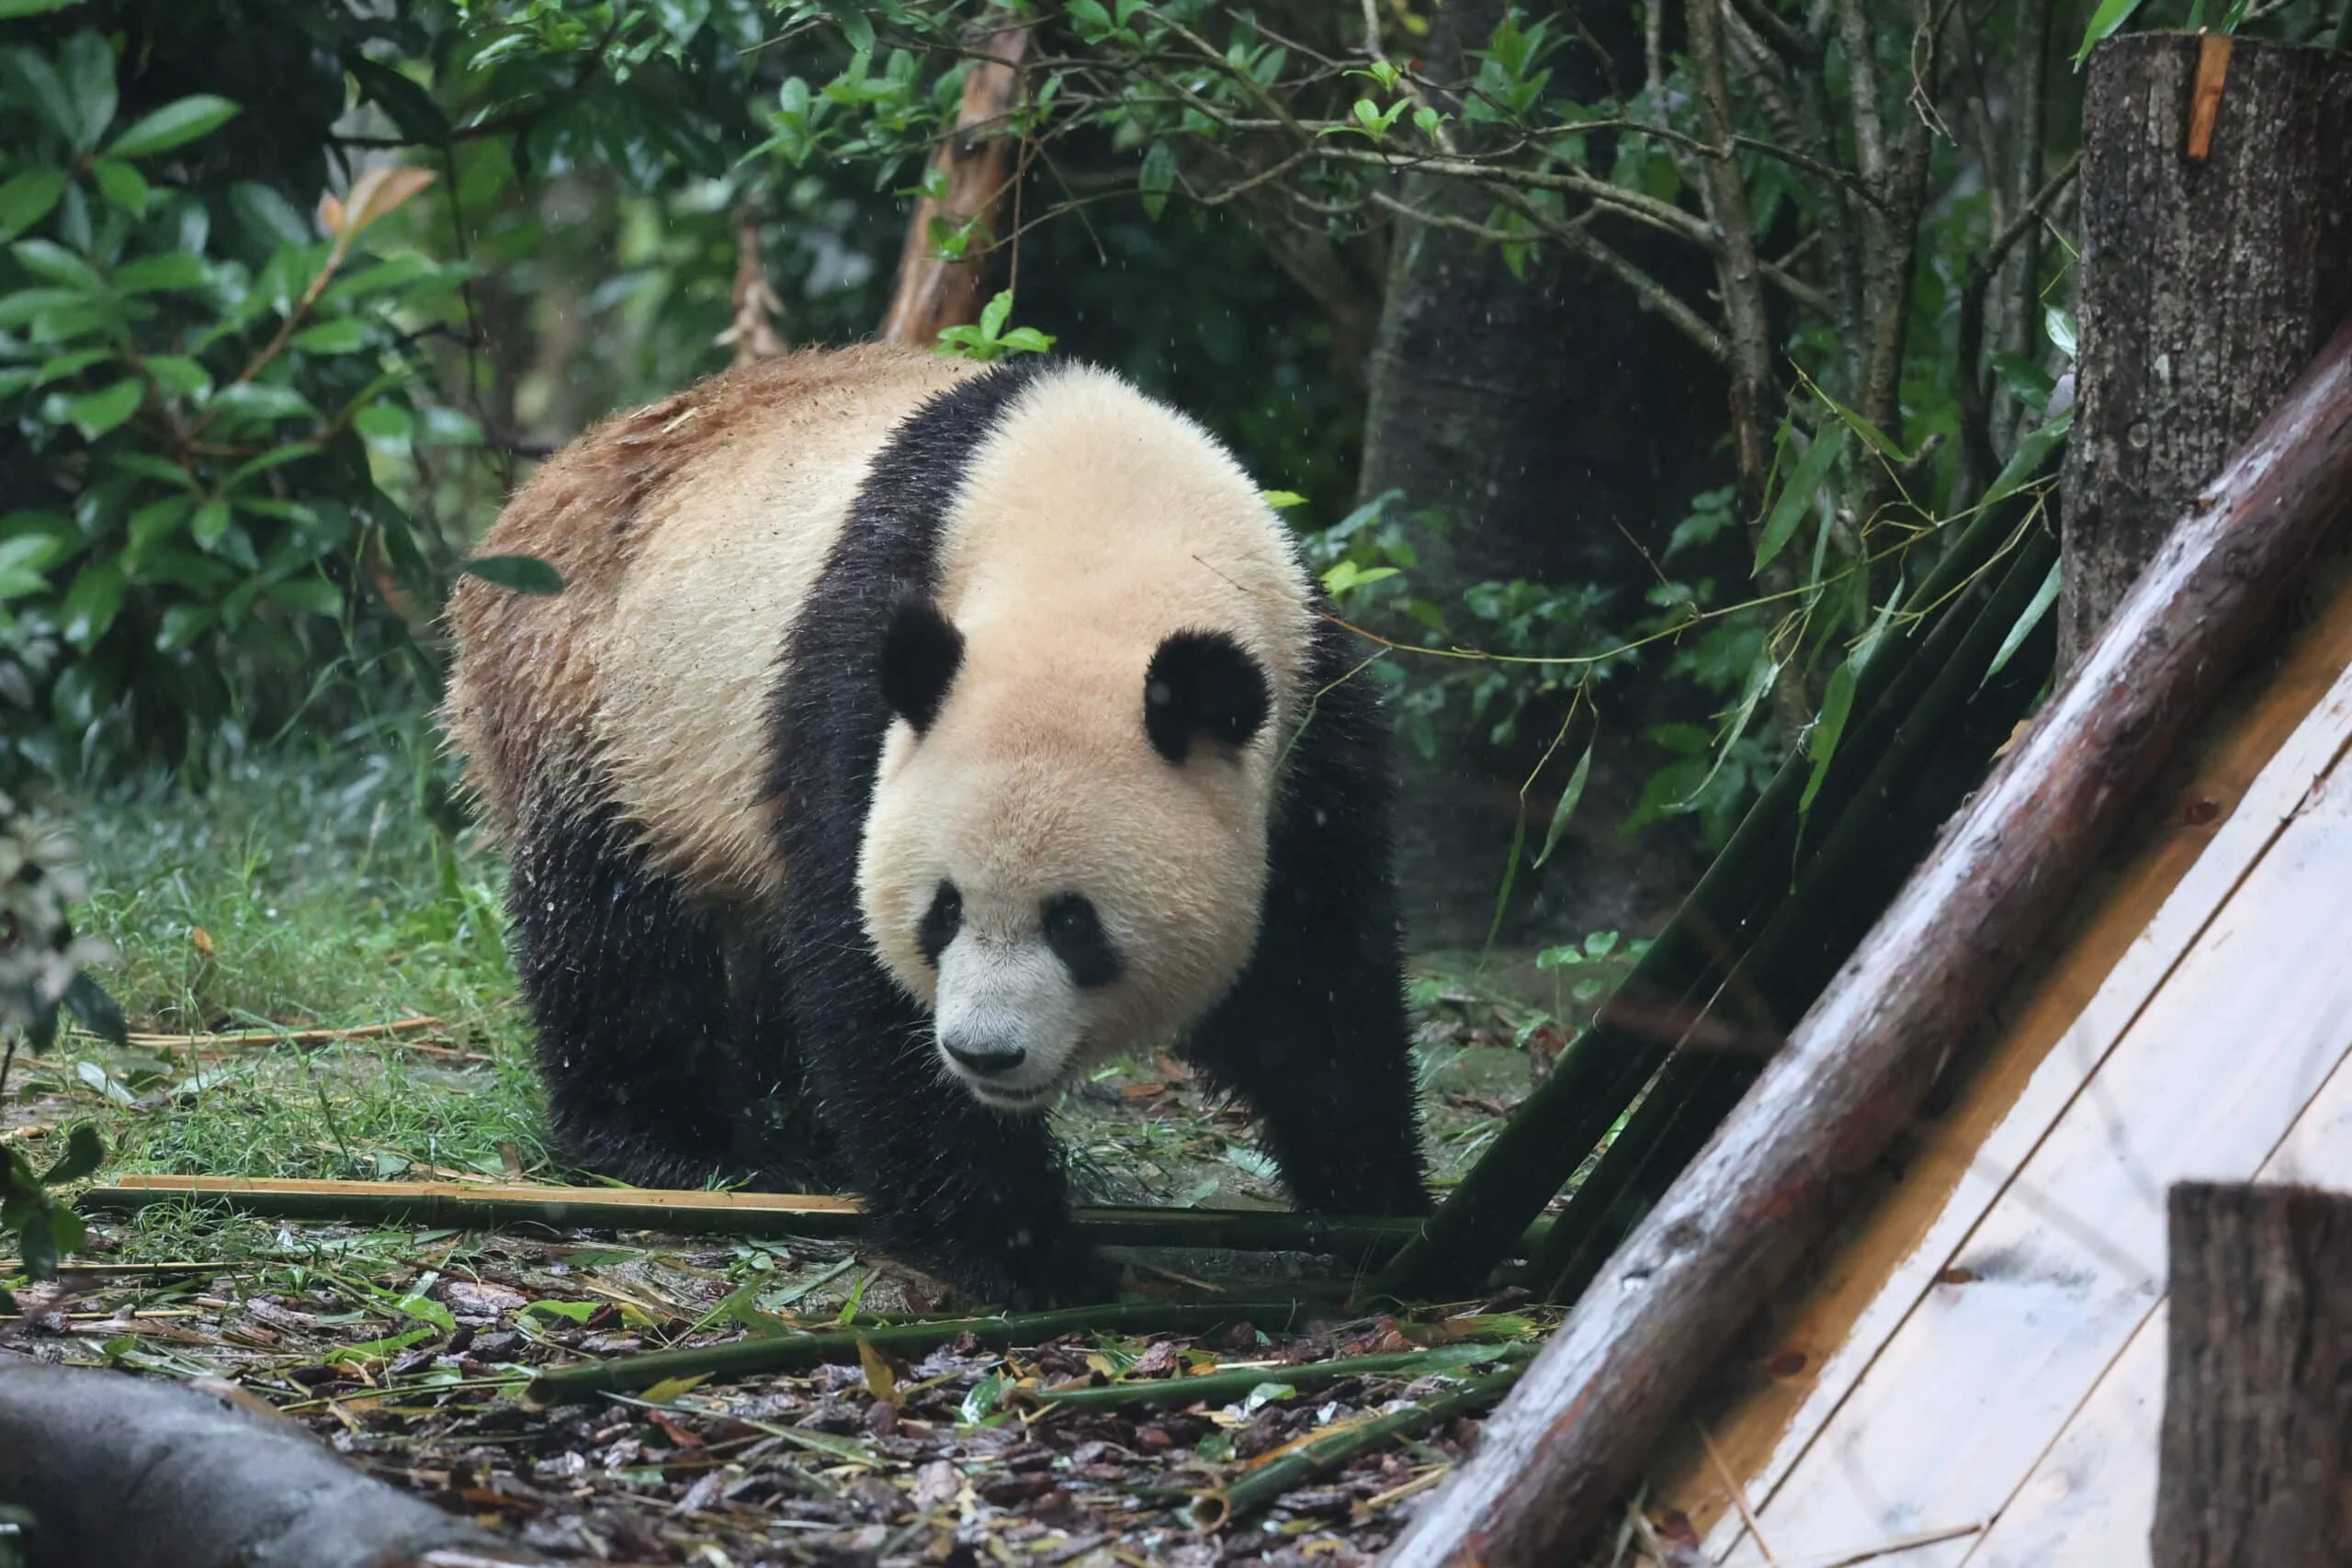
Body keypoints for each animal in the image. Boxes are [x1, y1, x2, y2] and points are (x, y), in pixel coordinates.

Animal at [444, 343, 1429, 1307]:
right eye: (943, 911)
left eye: (1075, 924)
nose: (984, 1053)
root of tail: (537, 492)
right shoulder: (860, 689)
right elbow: (861, 970)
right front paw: (1028, 1251)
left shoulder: (1308, 716)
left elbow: (1315, 973)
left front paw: (1386, 1215)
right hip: (596, 693)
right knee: (617, 924)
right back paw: (669, 1143)